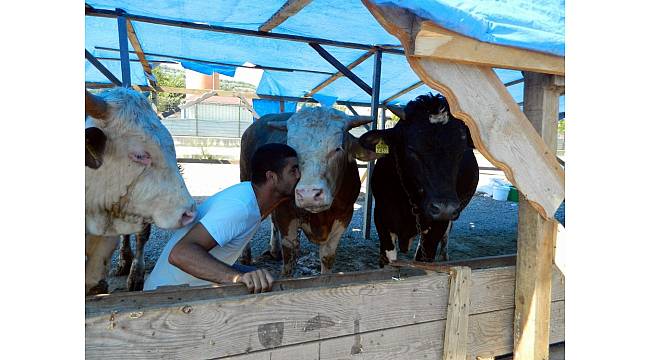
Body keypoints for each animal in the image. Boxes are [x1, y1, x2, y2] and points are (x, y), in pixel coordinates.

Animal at [238, 107, 372, 276]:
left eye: (338, 148)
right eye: (292, 149)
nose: (309, 195)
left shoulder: (344, 215)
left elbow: (327, 256)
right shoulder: (286, 214)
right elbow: (289, 256)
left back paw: (274, 251)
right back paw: (246, 256)